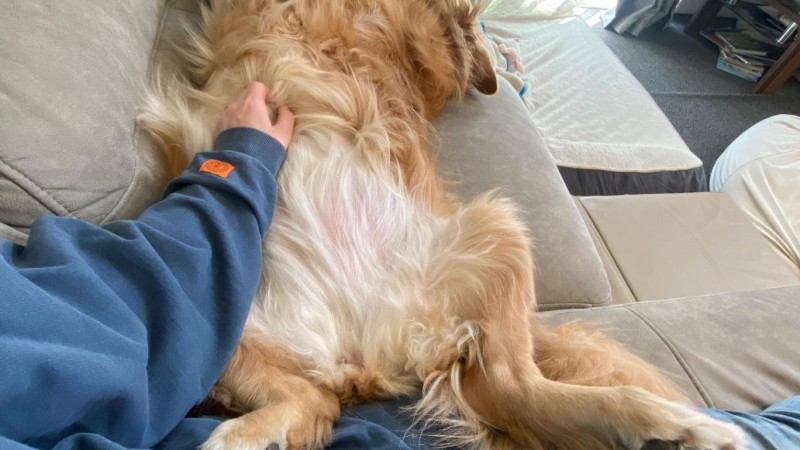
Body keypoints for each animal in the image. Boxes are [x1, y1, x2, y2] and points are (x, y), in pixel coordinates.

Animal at [139, 0, 745, 448]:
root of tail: (364, 351)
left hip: (499, 228)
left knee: (515, 389)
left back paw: (674, 427)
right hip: (210, 322)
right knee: (318, 403)